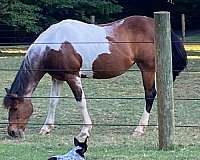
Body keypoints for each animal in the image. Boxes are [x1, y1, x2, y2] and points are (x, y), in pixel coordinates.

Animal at [3, 15, 188, 140]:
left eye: (15, 108)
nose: (12, 132)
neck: (53, 44)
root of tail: (153, 24)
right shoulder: (57, 77)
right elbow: (53, 102)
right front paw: (46, 128)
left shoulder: (72, 76)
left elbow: (81, 101)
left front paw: (85, 130)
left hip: (147, 68)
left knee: (149, 95)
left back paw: (139, 129)